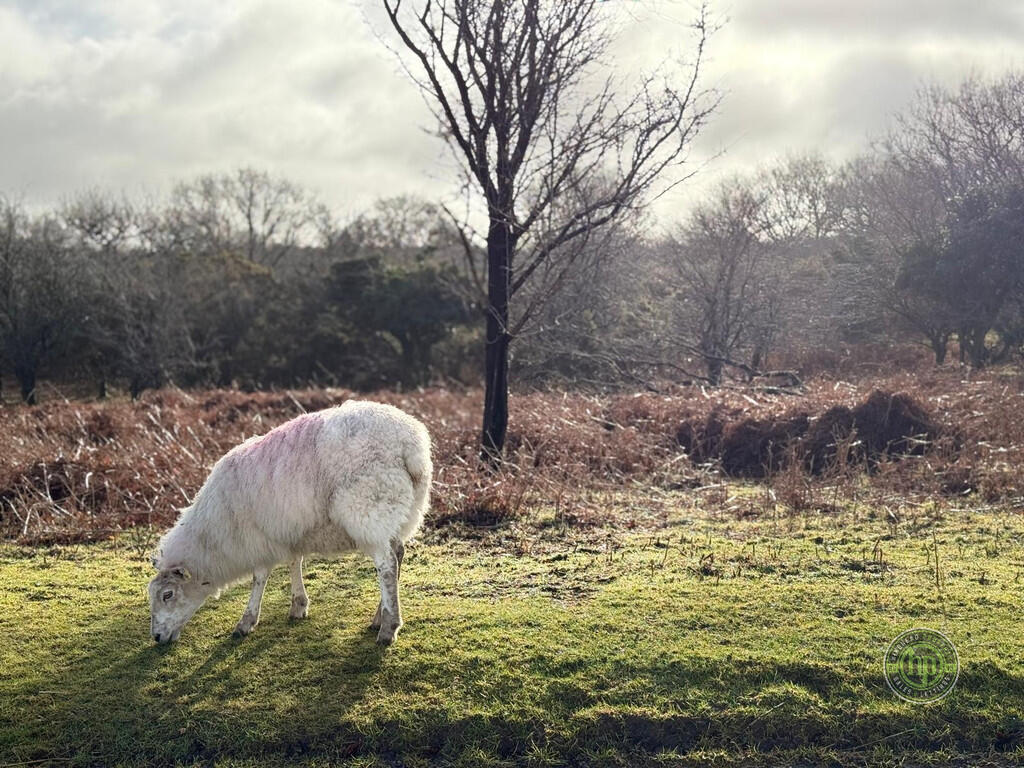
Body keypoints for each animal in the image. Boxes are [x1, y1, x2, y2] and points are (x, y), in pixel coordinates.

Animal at [148, 400, 431, 647]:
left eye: (167, 595)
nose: (157, 637)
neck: (213, 533)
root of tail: (410, 444)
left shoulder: (257, 536)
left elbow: (259, 577)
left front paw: (247, 621)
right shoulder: (289, 529)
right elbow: (295, 561)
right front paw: (298, 604)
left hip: (370, 507)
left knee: (387, 565)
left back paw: (388, 627)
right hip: (401, 509)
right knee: (398, 554)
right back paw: (379, 617)